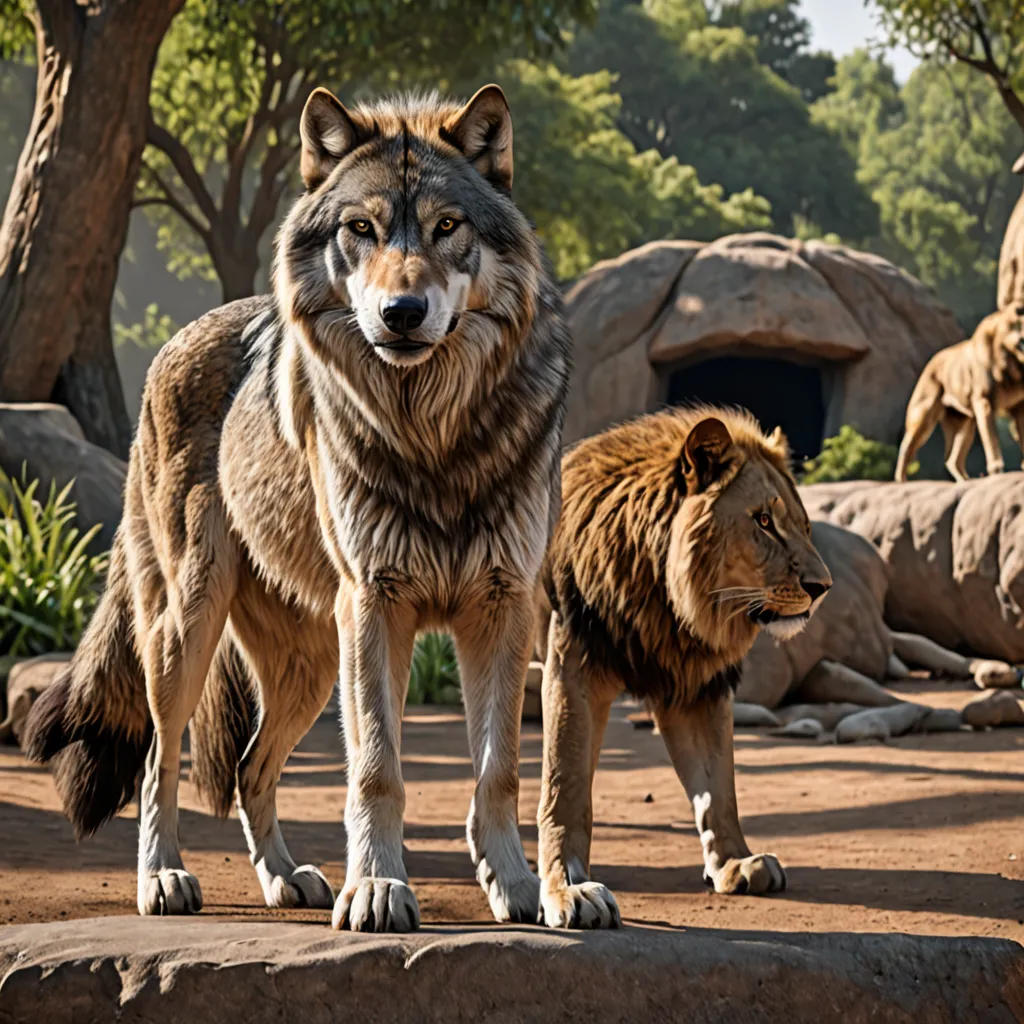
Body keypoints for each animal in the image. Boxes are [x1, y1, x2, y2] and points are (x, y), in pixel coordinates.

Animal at [24, 85, 571, 932]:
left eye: (448, 227)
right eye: (362, 229)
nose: (402, 311)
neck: (432, 436)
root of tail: (180, 338)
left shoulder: (504, 607)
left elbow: (499, 771)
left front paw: (518, 888)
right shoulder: (376, 605)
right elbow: (378, 768)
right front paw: (378, 890)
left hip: (310, 666)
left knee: (249, 768)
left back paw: (284, 879)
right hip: (191, 627)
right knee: (158, 758)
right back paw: (163, 879)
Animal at [895, 304, 1024, 481]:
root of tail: (932, 360)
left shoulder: (1019, 406)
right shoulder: (984, 402)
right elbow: (992, 440)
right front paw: (997, 471)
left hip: (965, 422)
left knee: (952, 460)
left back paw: (966, 481)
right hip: (923, 415)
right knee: (906, 446)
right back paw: (901, 481)